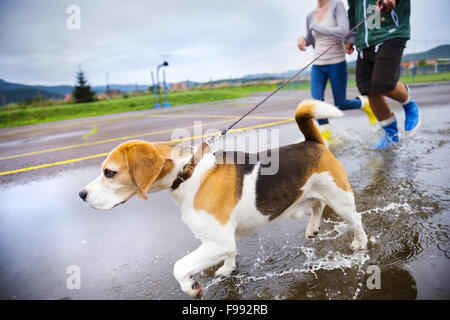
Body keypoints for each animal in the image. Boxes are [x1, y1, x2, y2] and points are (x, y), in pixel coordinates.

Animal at [81, 100, 368, 298]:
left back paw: (360, 243)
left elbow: (179, 266)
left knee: (355, 220)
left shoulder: (217, 241)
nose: (81, 195)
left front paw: (191, 287)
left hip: (340, 199)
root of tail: (312, 142)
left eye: (109, 172)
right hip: (313, 194)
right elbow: (230, 253)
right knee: (317, 205)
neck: (187, 173)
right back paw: (313, 228)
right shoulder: (221, 240)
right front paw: (227, 269)